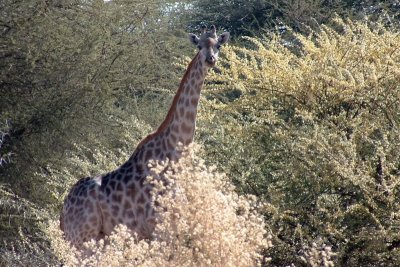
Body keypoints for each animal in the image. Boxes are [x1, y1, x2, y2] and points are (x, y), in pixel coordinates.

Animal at [59, 25, 228, 249]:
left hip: (96, 238)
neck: (173, 156)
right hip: (82, 238)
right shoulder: (157, 226)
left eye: (218, 45)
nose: (210, 59)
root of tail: (62, 213)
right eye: (199, 46)